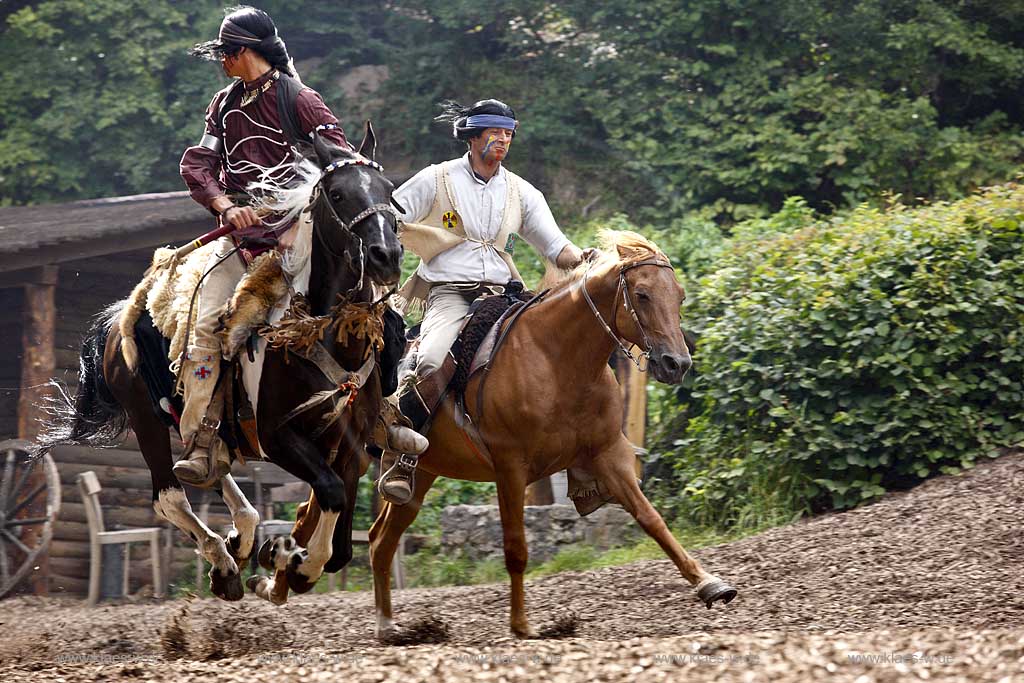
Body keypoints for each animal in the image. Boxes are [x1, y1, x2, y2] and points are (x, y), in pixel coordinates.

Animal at [39, 127, 407, 602]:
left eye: (388, 190)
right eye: (339, 194)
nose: (386, 255)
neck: (319, 332)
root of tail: (121, 316)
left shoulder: (350, 441)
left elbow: (340, 527)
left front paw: (281, 560)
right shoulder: (277, 437)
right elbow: (329, 495)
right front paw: (294, 565)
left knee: (216, 469)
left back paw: (238, 539)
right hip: (145, 418)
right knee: (170, 495)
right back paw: (225, 560)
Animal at [368, 231, 737, 643]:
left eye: (680, 296)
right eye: (641, 294)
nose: (677, 363)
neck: (556, 360)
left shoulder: (607, 456)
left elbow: (652, 519)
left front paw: (709, 583)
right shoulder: (511, 468)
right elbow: (516, 547)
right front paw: (522, 626)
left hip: (422, 476)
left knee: (380, 541)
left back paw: (388, 626)